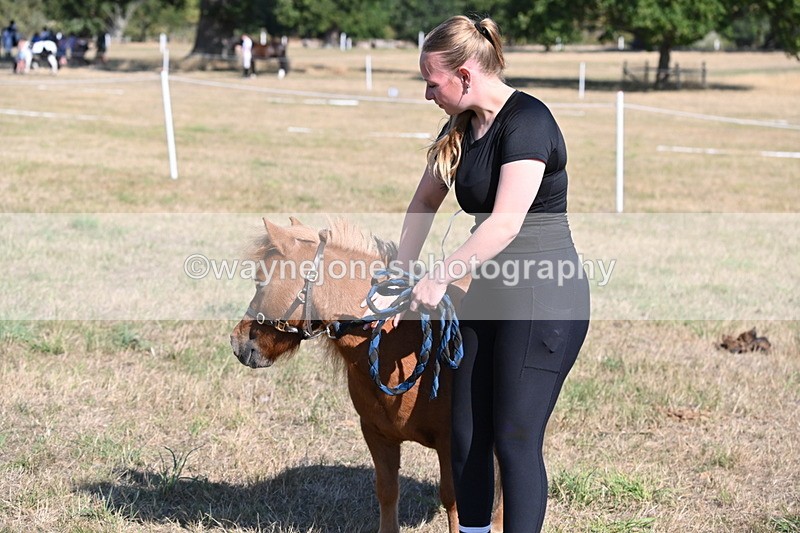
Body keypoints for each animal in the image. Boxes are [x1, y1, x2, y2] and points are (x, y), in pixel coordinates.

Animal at [230, 217, 503, 533]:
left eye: (260, 281)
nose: (237, 342)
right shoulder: (376, 434)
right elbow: (387, 490)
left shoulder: (451, 443)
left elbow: (455, 501)